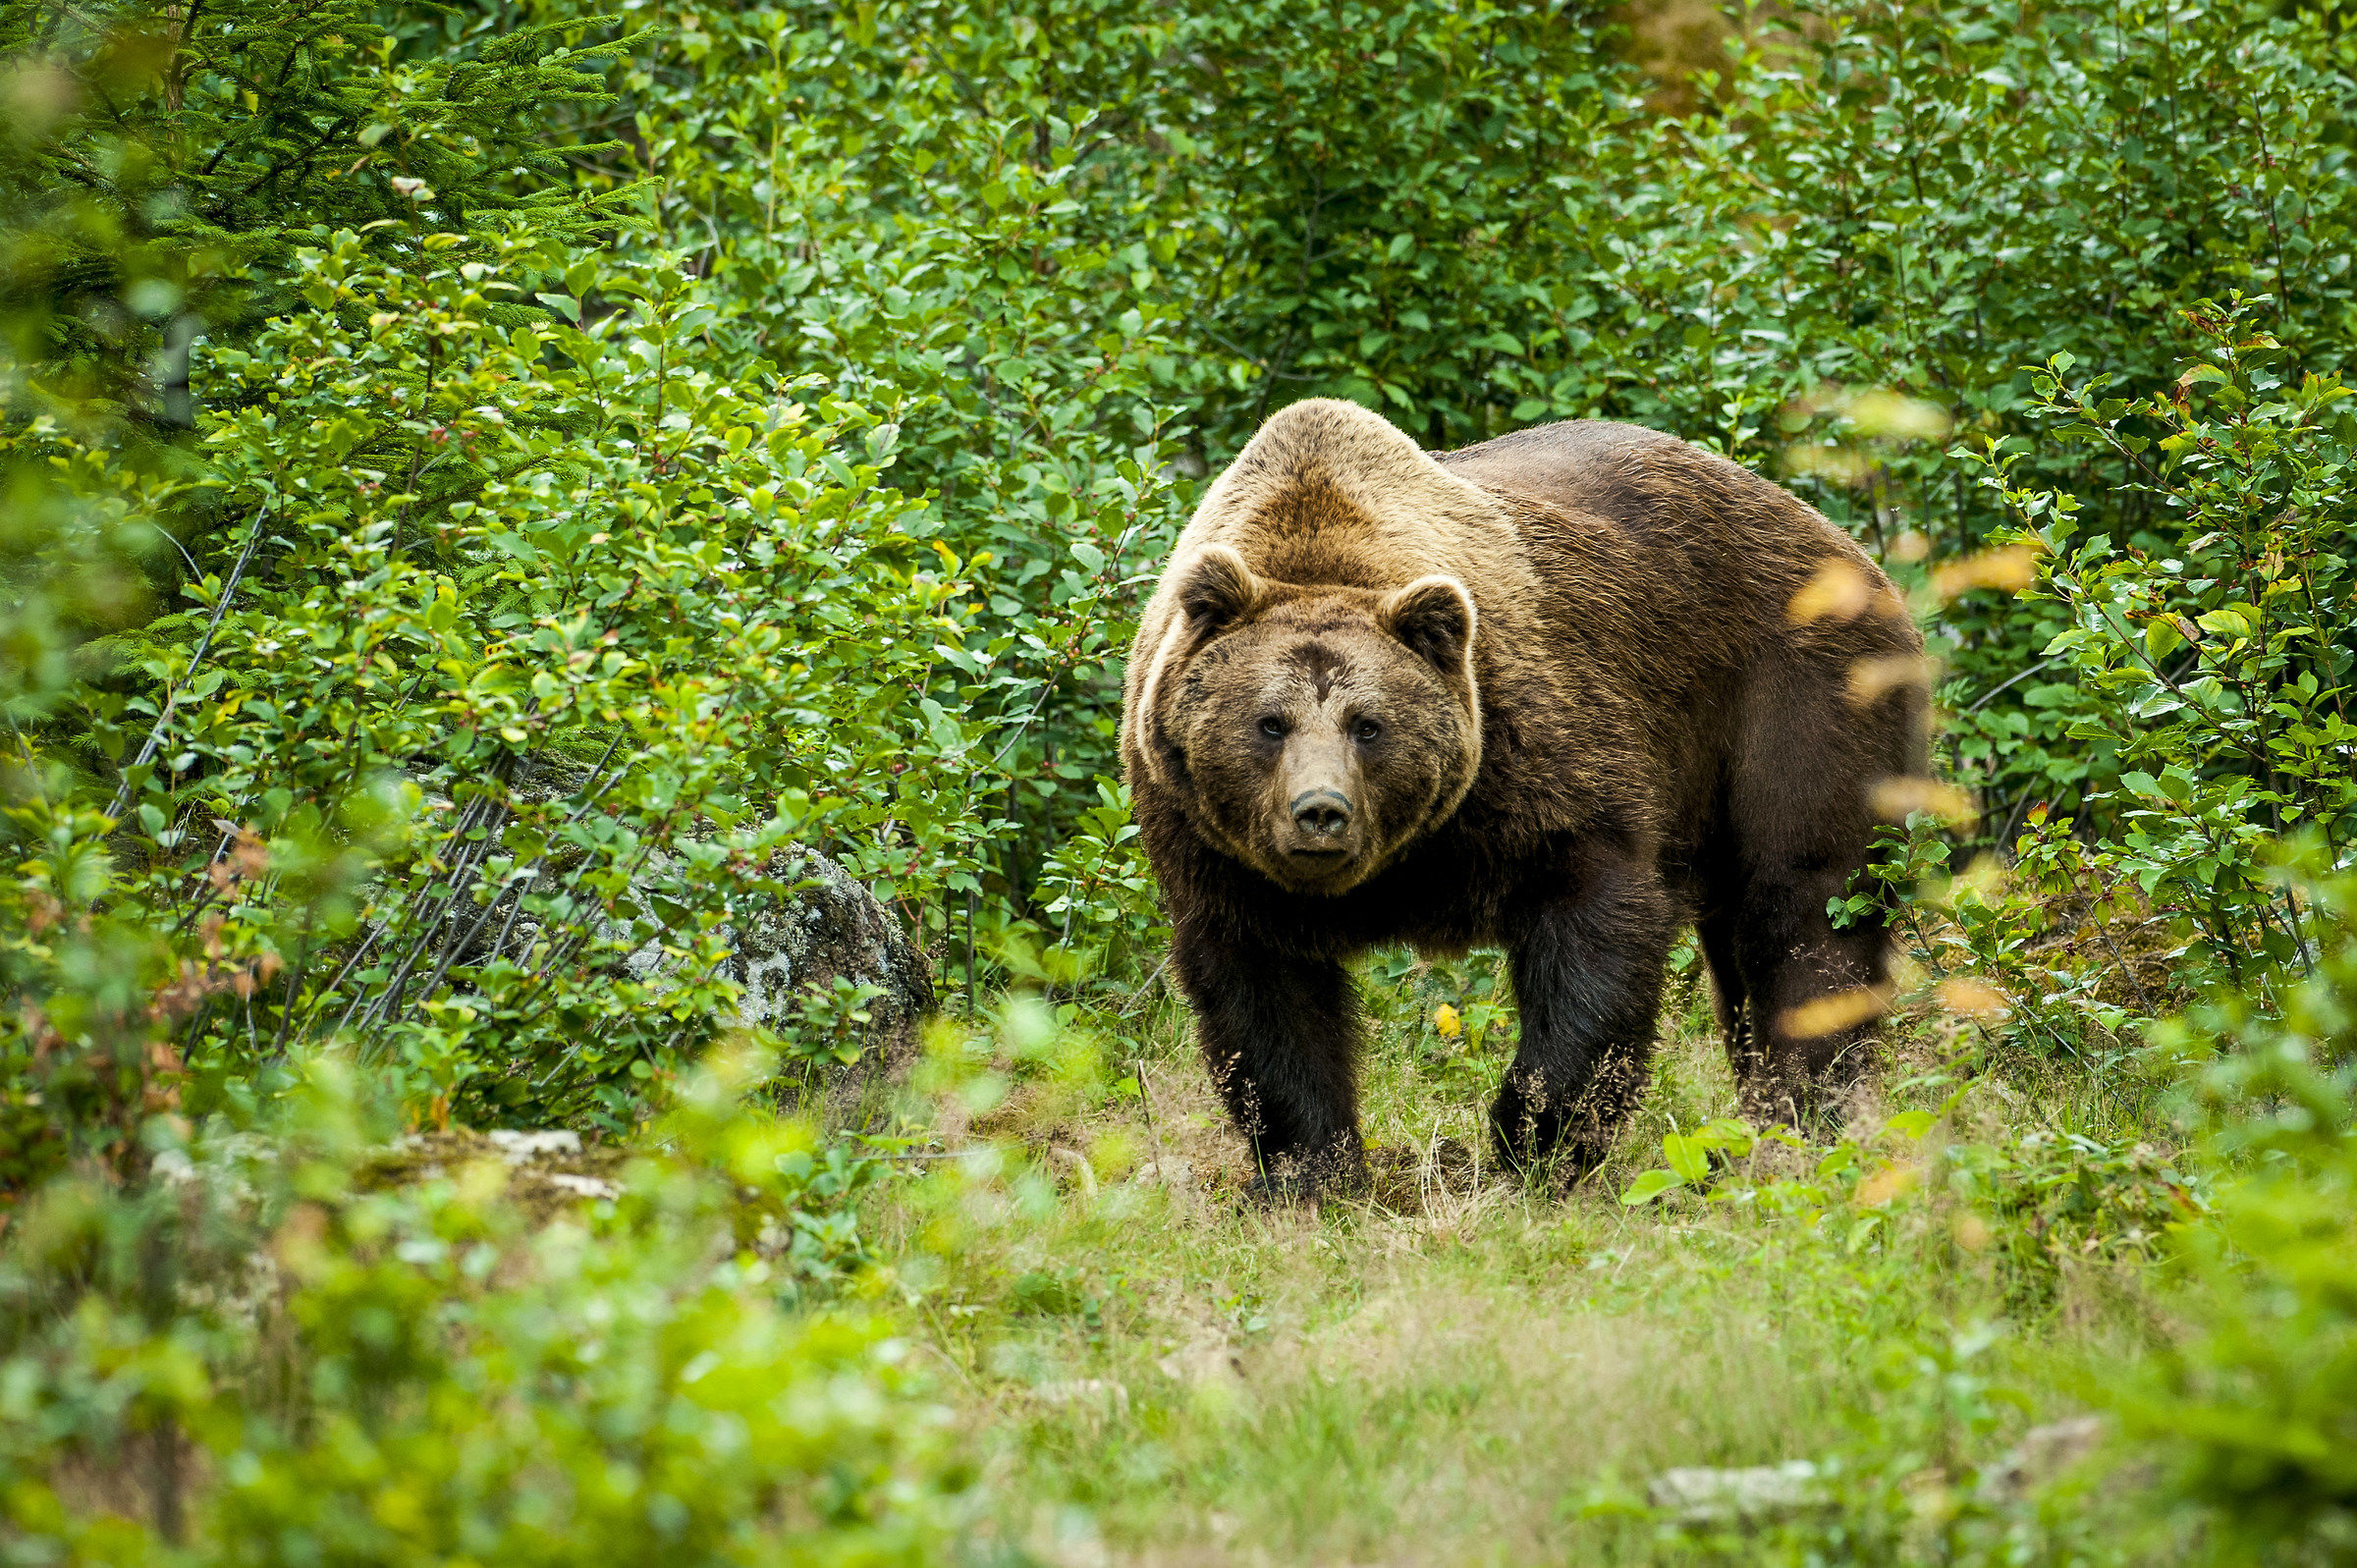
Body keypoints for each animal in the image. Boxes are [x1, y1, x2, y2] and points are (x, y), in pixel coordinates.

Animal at [1119, 398, 1926, 1193]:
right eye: (1270, 722)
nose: (1321, 811)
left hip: (1791, 693)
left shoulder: (1533, 760)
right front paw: (1307, 1170)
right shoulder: (1214, 846)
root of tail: (1841, 541)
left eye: (1368, 724)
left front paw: (1534, 1141)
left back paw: (1806, 1116)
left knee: (1805, 901)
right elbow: (1264, 1000)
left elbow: (1597, 922)